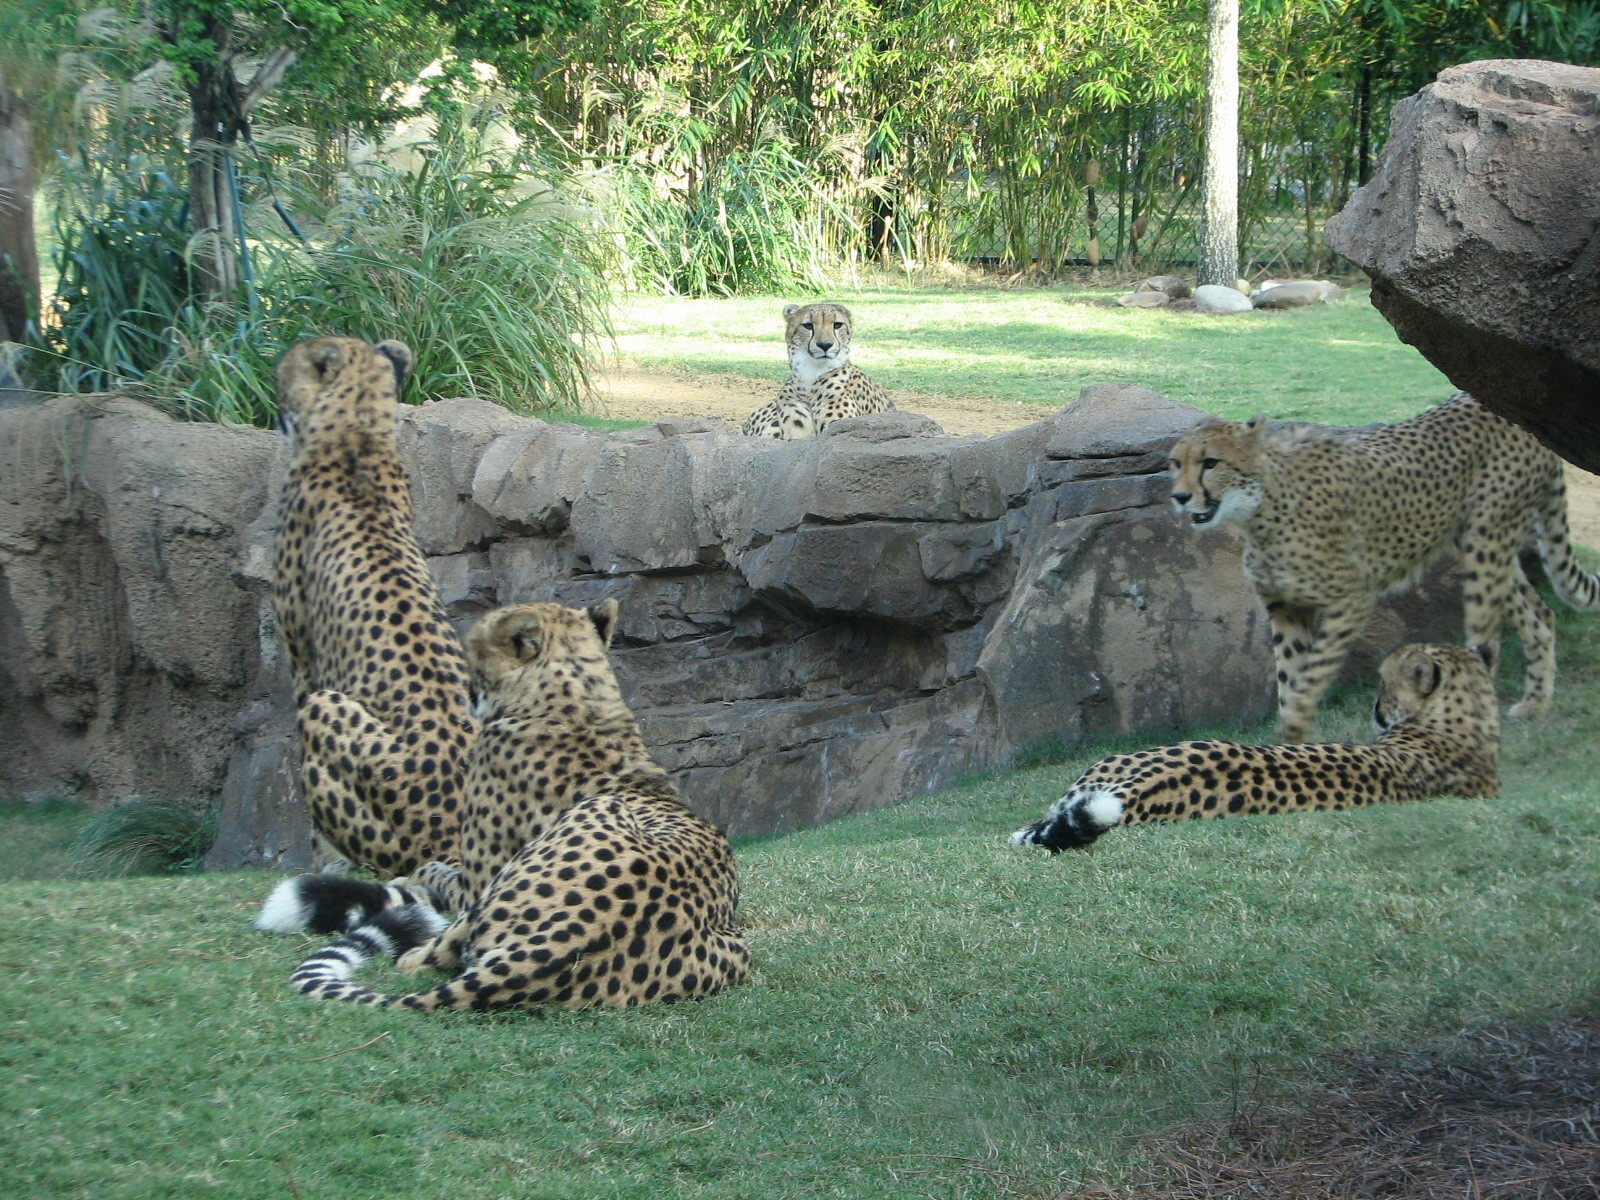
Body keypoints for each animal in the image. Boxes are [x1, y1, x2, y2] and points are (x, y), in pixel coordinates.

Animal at [275, 599, 751, 1011]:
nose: (465, 691)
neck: (578, 698)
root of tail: (541, 956)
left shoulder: (474, 885)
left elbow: (436, 872)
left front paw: (417, 876)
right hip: (739, 950)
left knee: (427, 956)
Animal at [1168, 393, 1600, 743]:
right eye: (1175, 463)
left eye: (1211, 462)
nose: (1179, 496)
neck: (1260, 510)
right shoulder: (1286, 606)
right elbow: (1290, 677)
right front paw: (1290, 748)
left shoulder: (1351, 599)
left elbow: (1310, 677)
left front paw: (1292, 735)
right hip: (1478, 544)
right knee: (1540, 615)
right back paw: (1534, 704)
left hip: (1485, 543)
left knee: (1487, 643)